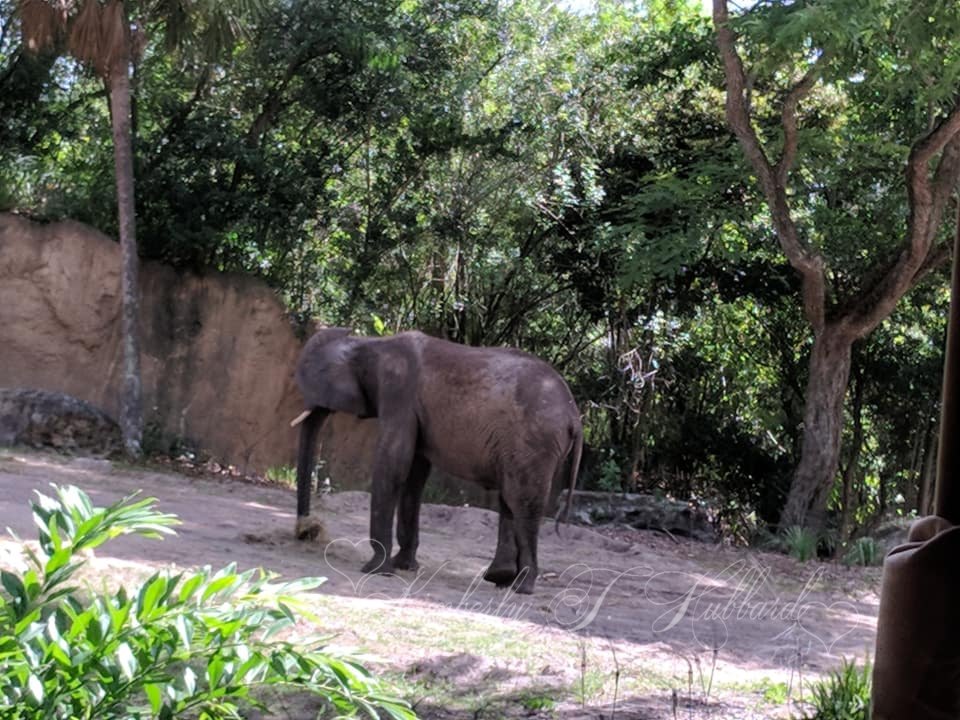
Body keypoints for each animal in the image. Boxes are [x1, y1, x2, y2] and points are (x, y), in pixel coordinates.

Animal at [288, 328, 580, 596]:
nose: (305, 531)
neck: (368, 342)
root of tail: (574, 415)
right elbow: (415, 476)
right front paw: (403, 566)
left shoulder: (398, 394)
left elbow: (393, 465)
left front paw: (375, 570)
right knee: (510, 499)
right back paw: (501, 579)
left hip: (535, 441)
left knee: (522, 501)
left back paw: (521, 587)